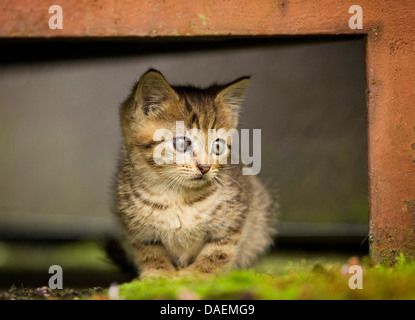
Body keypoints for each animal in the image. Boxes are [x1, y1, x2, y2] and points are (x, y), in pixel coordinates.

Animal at [114, 69, 278, 278]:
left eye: (218, 146)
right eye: (182, 143)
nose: (205, 167)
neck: (176, 197)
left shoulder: (235, 218)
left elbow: (218, 251)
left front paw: (196, 275)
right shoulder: (137, 230)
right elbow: (150, 251)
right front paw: (158, 274)